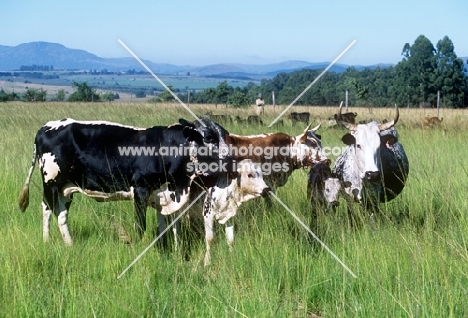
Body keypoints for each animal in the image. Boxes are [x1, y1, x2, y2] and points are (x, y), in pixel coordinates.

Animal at [18, 118, 230, 245]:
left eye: (226, 135)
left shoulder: (165, 196)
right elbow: (140, 226)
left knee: (55, 211)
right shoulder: (140, 189)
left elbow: (170, 228)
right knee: (52, 211)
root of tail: (46, 127)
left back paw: (64, 243)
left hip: (65, 188)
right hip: (52, 182)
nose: (230, 157)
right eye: (209, 137)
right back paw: (55, 242)